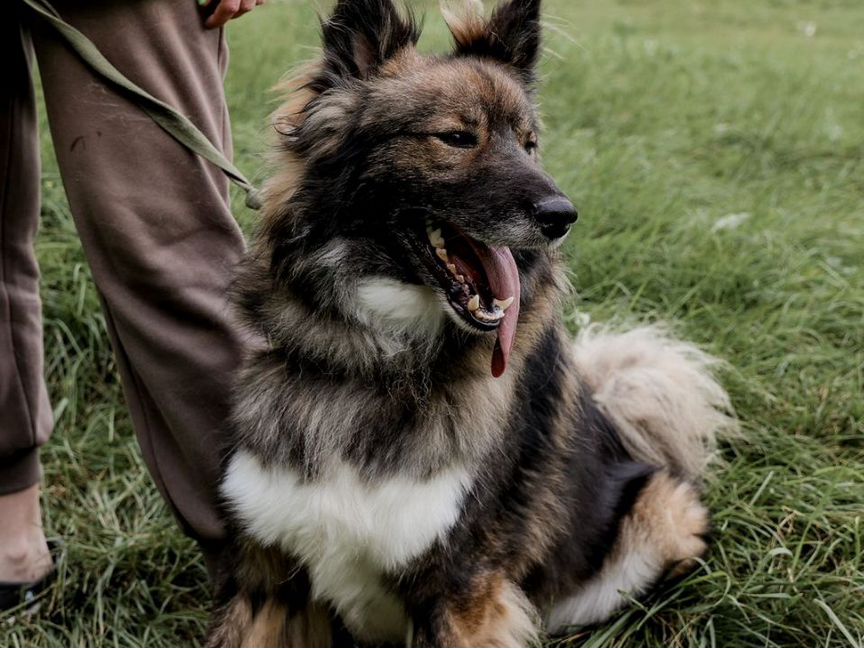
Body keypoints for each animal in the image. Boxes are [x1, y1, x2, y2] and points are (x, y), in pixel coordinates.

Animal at [204, 2, 736, 644]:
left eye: (530, 145)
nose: (563, 216)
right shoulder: (268, 577)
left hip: (657, 519)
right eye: (457, 137)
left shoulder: (464, 588)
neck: (377, 364)